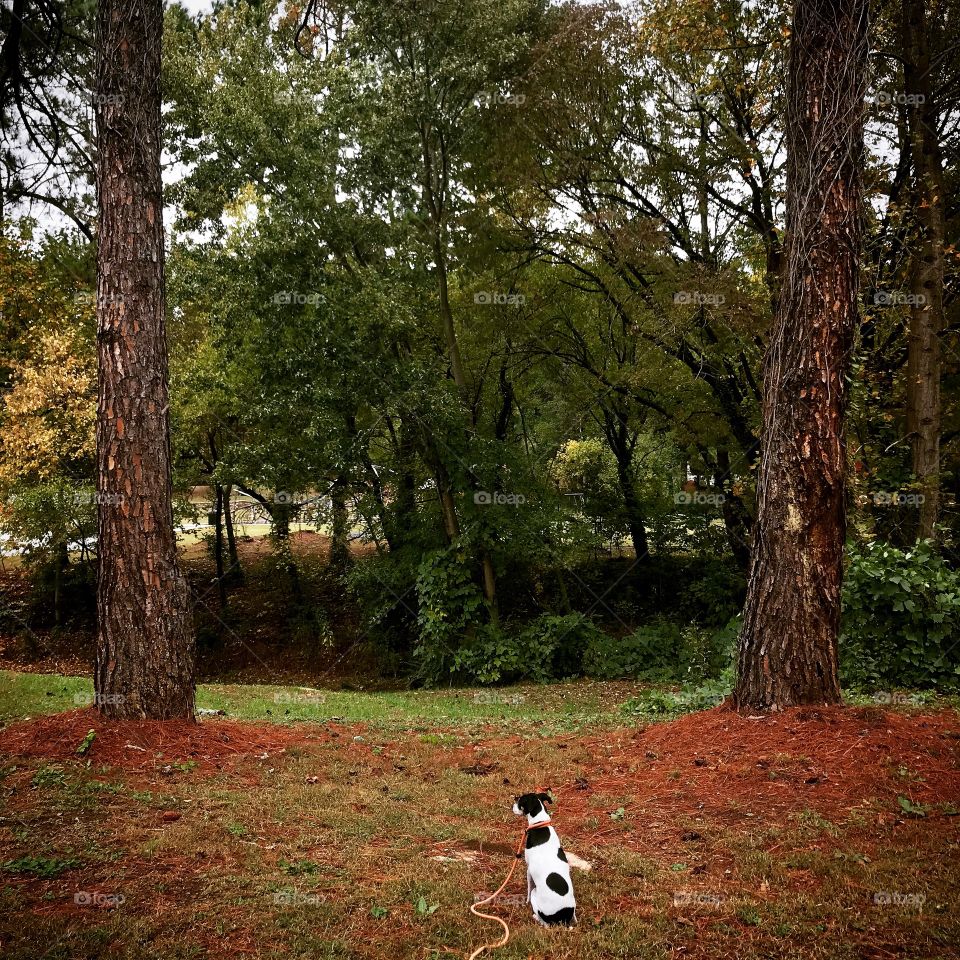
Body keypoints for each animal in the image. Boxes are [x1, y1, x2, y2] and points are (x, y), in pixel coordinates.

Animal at [512, 792, 572, 928]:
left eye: (519, 801)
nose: (512, 803)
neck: (540, 824)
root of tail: (563, 917)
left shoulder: (528, 871)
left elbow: (528, 889)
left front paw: (526, 901)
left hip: (536, 896)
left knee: (544, 923)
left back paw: (535, 917)